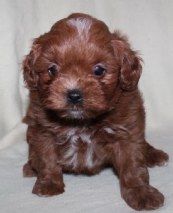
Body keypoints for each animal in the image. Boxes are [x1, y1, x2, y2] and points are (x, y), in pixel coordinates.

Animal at [22, 13, 168, 211]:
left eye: (99, 70)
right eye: (52, 69)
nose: (74, 95)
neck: (82, 121)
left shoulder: (127, 130)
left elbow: (133, 165)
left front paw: (141, 192)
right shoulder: (41, 129)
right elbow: (47, 158)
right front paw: (48, 183)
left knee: (143, 144)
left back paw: (154, 155)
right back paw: (30, 167)